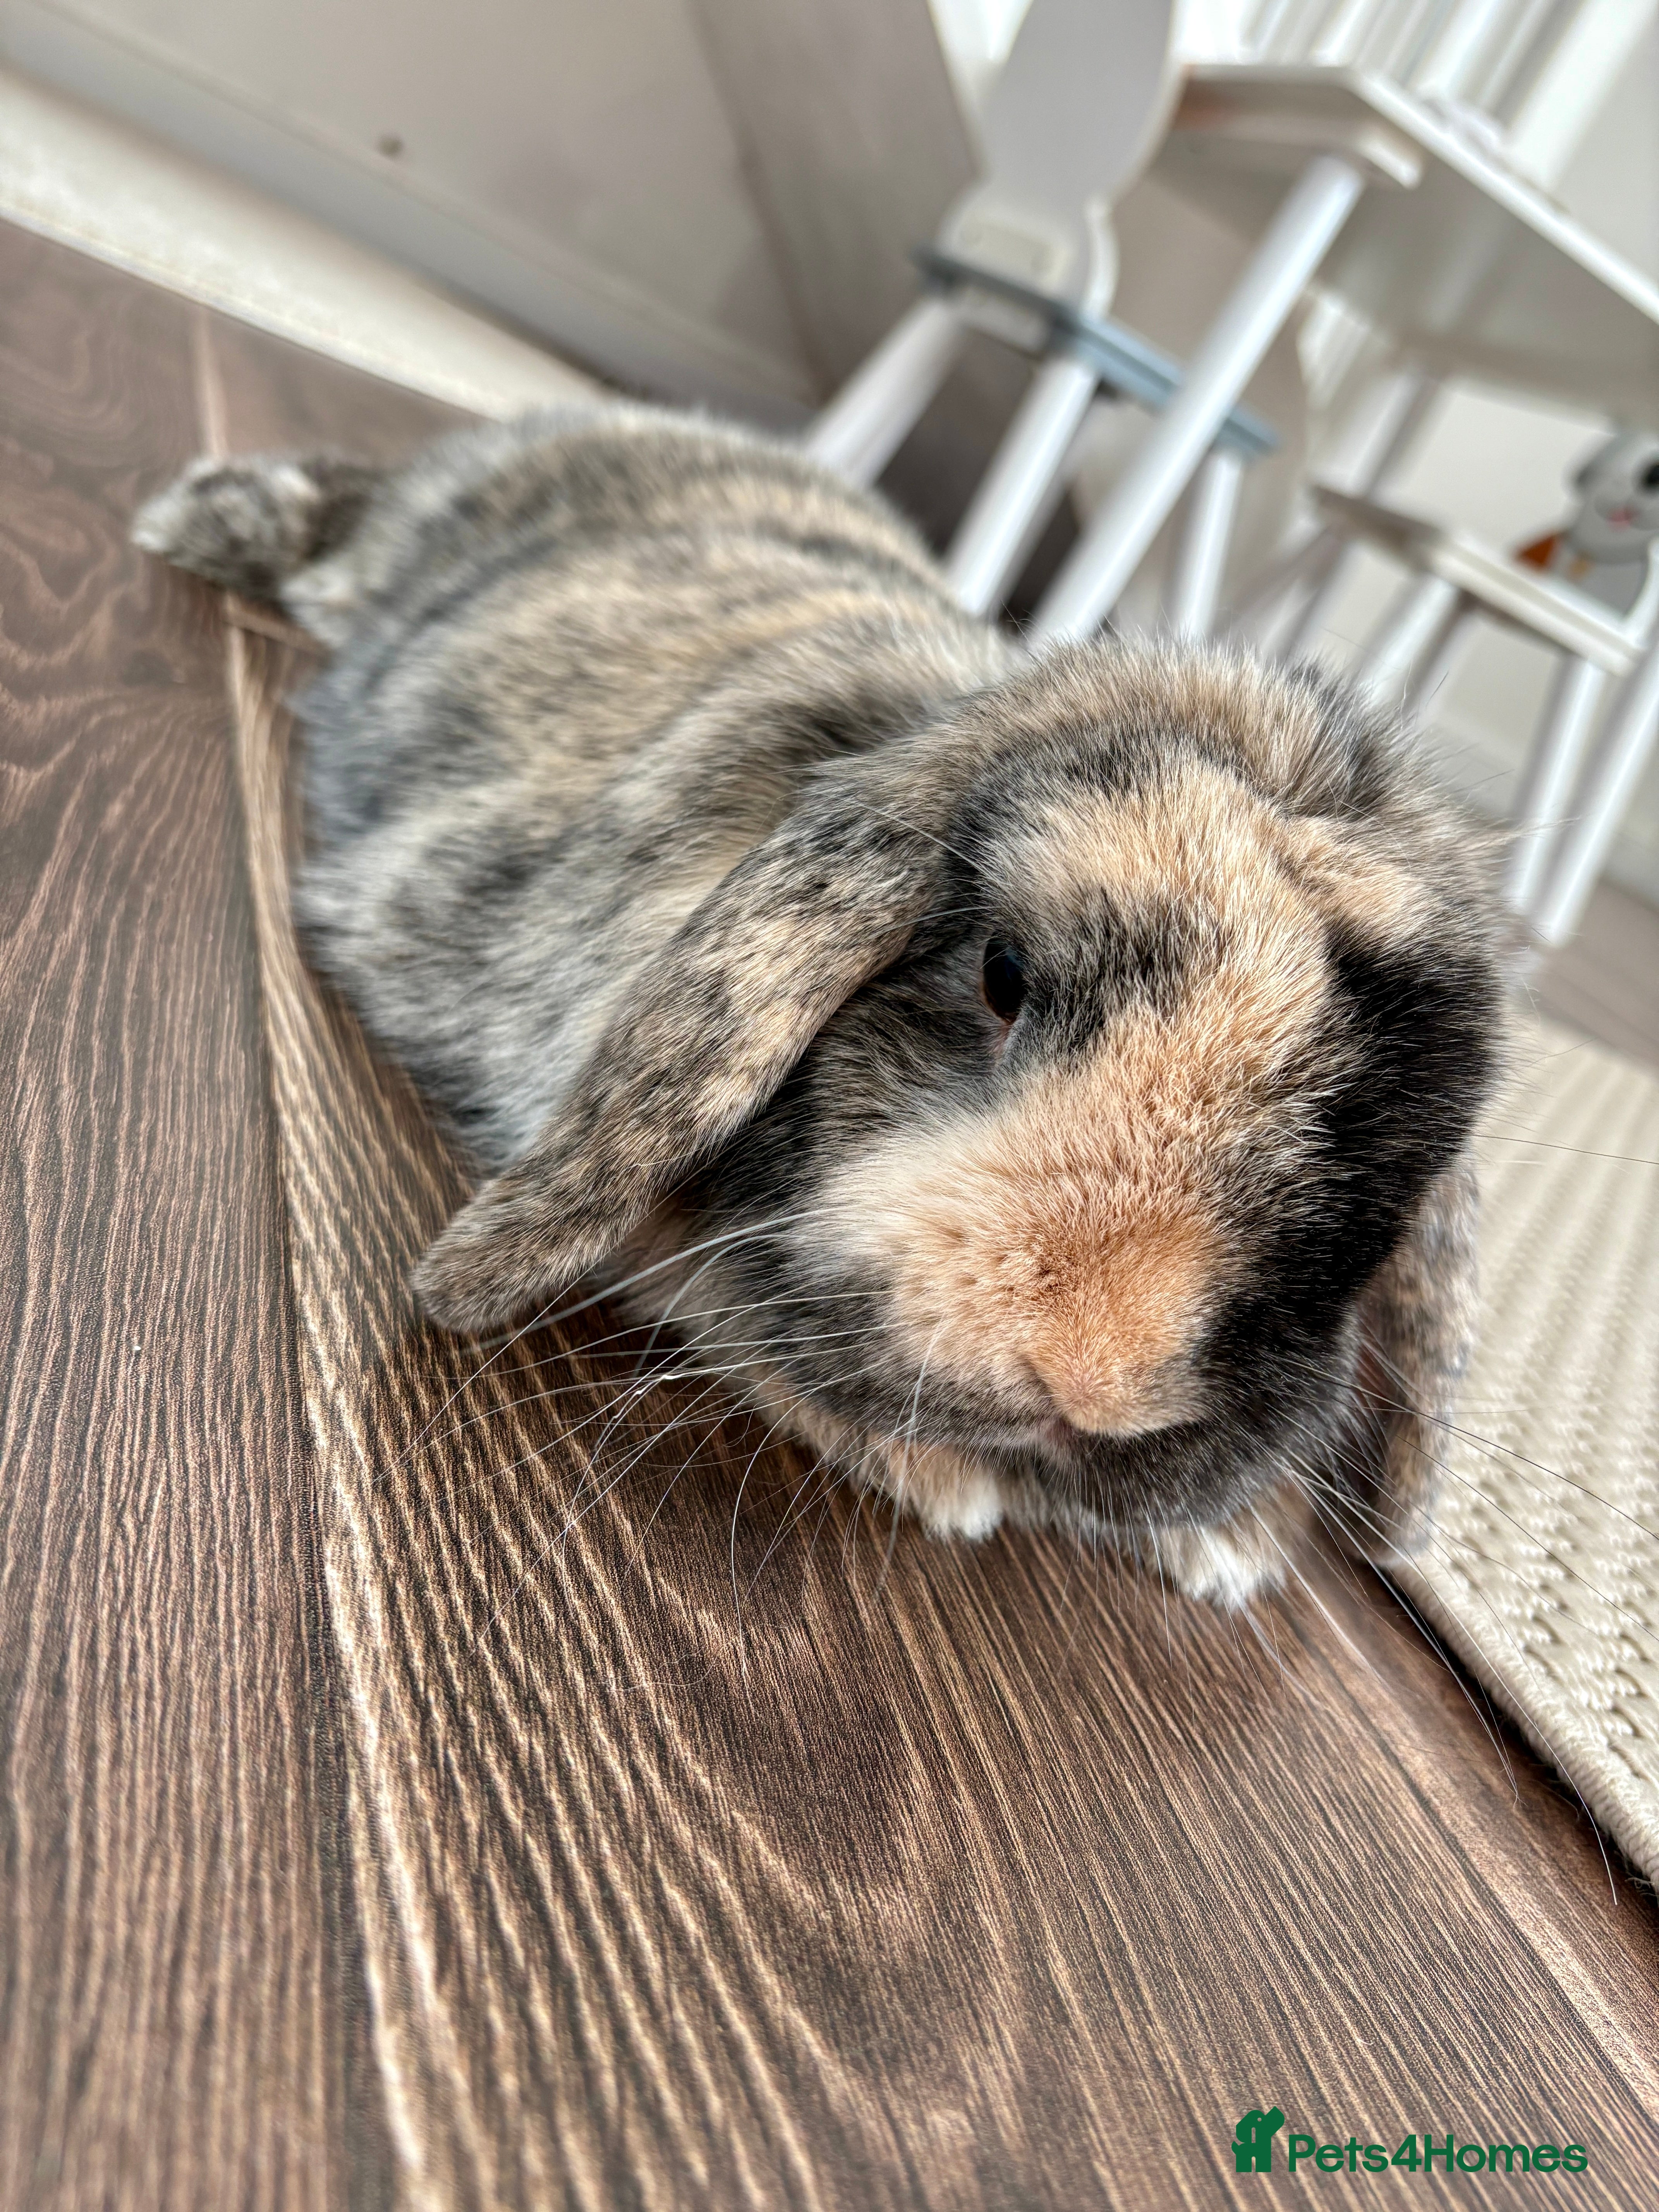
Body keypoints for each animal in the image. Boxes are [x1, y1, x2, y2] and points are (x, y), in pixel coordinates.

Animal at [133, 403, 1507, 1607]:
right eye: (1002, 977)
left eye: (1386, 1176)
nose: (1092, 1380)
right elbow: (734, 1308)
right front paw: (954, 1483)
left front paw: (1229, 1545)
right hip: (421, 526)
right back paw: (202, 519)